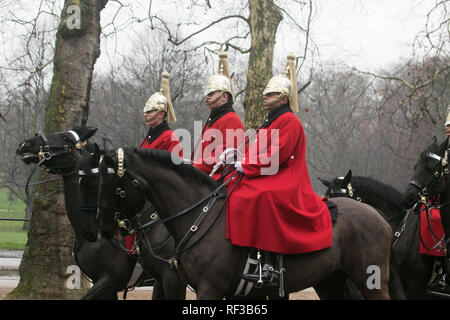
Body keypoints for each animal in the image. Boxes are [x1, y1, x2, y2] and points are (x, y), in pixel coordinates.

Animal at [95, 149, 398, 298]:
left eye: (113, 184)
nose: (101, 228)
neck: (200, 216)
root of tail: (378, 216)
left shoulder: (209, 289)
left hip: (371, 282)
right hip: (329, 281)